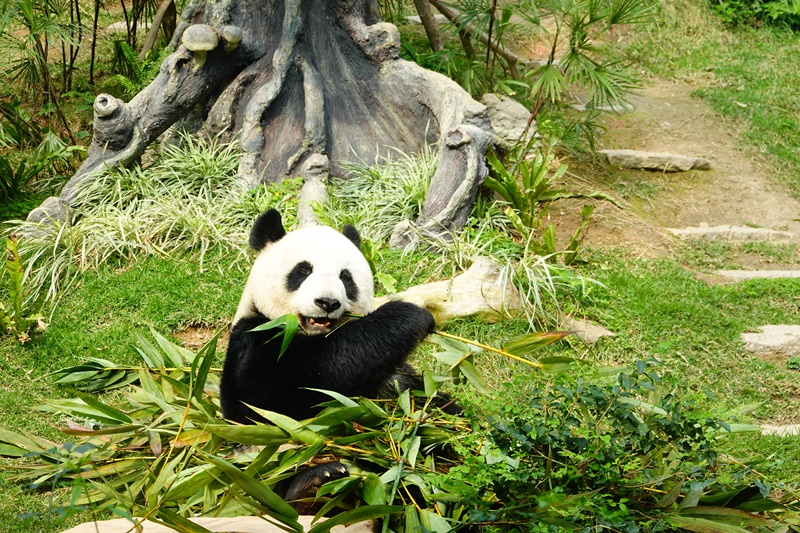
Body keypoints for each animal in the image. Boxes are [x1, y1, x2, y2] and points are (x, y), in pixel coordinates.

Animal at [220, 208, 438, 424]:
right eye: (303, 270)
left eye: (345, 277)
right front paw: (410, 316)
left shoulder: (398, 376)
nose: (327, 302)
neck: (311, 336)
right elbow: (272, 400)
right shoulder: (254, 338)